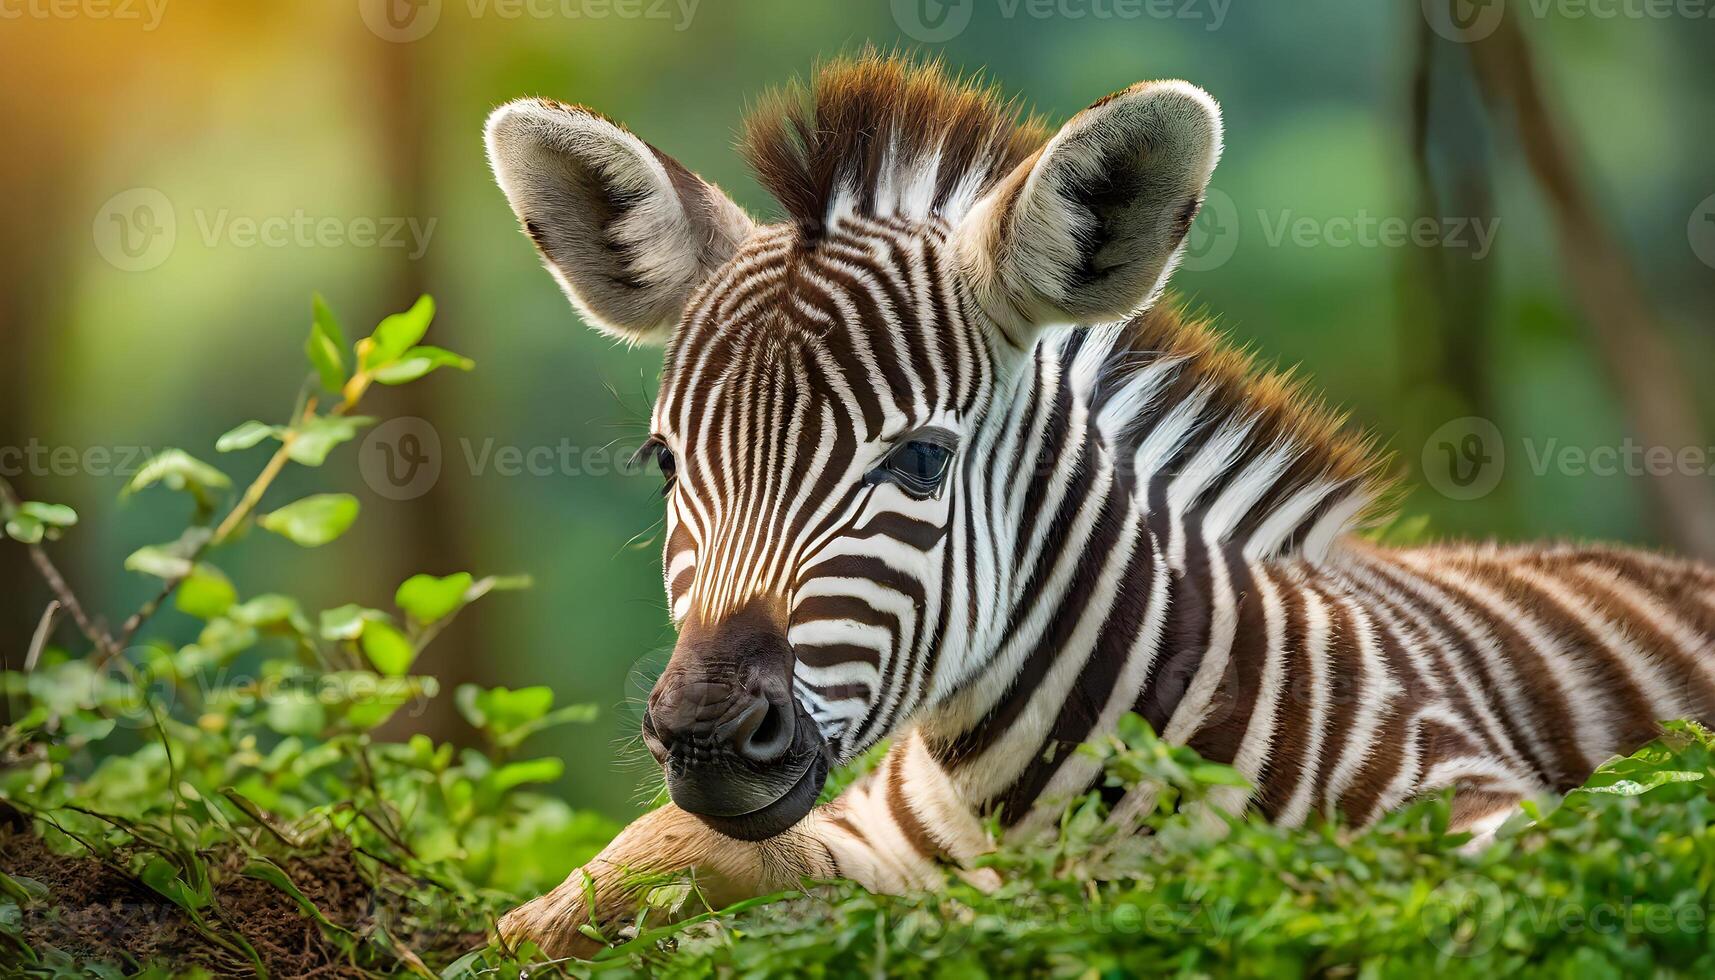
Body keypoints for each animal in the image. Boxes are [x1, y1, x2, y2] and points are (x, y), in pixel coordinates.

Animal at [480, 51, 1715, 961]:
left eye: (919, 462)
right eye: (664, 463)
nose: (701, 734)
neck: (1017, 799)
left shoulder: (1479, 807)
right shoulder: (862, 837)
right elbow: (651, 855)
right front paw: (530, 925)